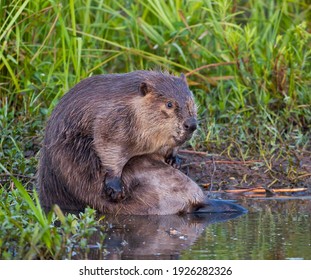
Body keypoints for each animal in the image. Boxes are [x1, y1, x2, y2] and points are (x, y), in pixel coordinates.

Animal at [38, 71, 197, 207]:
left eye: (191, 102)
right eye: (169, 104)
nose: (191, 124)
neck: (132, 105)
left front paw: (174, 160)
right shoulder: (112, 120)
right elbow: (107, 147)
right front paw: (116, 189)